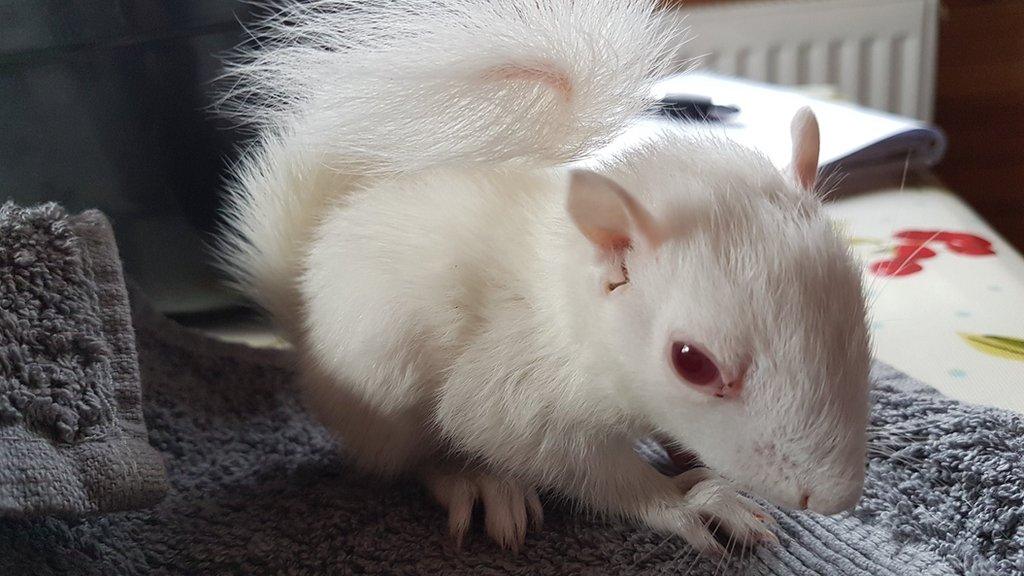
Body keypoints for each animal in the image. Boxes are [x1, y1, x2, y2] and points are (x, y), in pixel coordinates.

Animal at [220, 0, 868, 553]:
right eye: (692, 362)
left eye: (860, 317)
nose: (832, 499)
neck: (568, 303)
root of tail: (302, 296)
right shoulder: (519, 385)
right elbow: (563, 458)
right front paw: (688, 505)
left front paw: (699, 466)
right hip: (385, 380)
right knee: (412, 456)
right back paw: (474, 481)